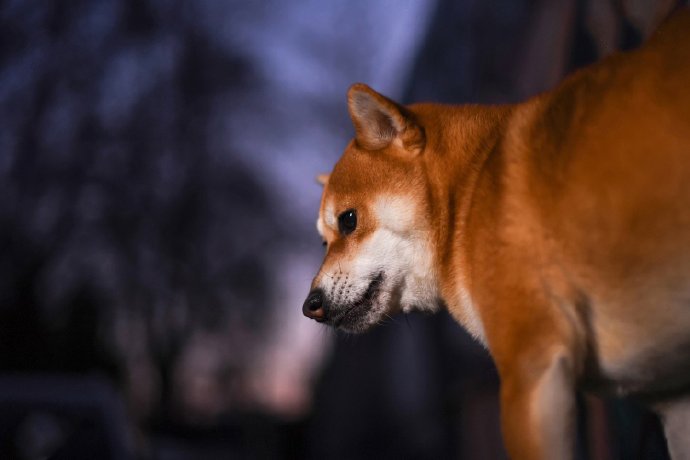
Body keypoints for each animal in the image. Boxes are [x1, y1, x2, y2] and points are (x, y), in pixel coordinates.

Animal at [302, 8, 688, 460]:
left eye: (348, 220)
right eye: (323, 242)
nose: (309, 306)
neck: (467, 189)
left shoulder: (532, 368)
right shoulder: (675, 399)